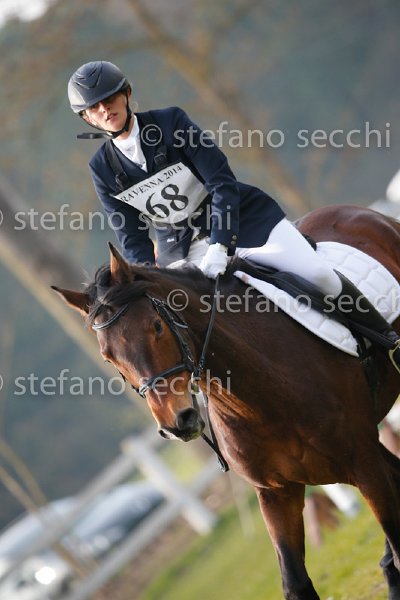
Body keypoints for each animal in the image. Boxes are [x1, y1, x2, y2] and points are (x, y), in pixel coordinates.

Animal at [53, 204, 400, 600]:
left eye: (156, 327)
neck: (264, 396)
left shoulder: (363, 462)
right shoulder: (275, 493)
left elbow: (394, 532)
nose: (177, 423)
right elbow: (294, 582)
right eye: (108, 357)